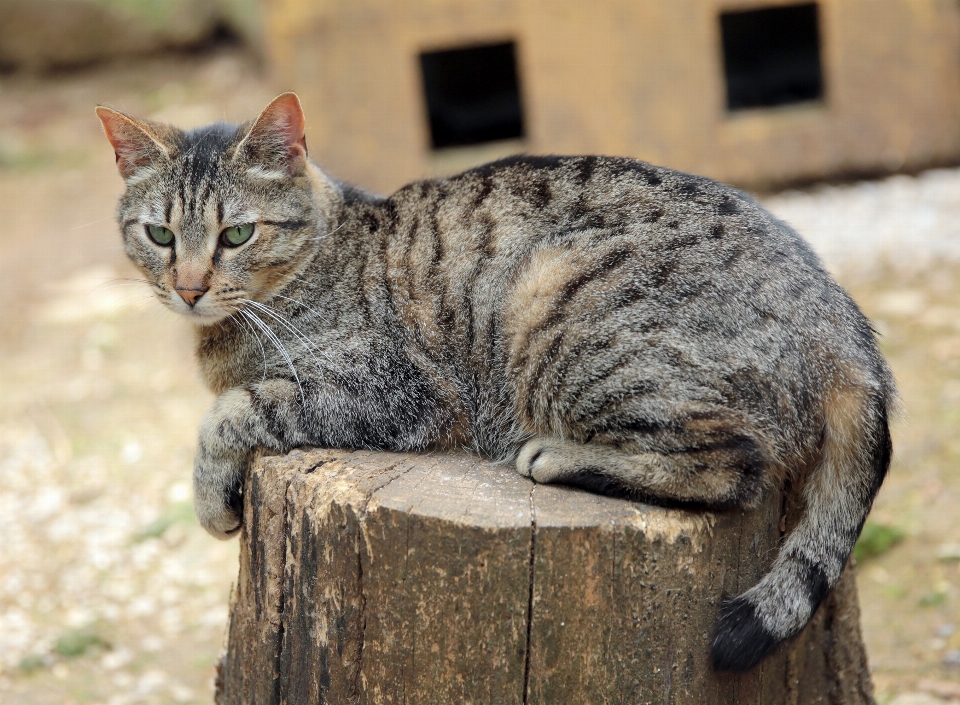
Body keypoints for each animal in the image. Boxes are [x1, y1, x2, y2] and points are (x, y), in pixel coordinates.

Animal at [95, 92, 892, 672]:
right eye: (160, 235)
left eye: (237, 234)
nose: (189, 287)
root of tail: (842, 317)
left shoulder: (392, 388)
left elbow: (232, 410)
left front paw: (210, 495)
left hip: (559, 307)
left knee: (735, 466)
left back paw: (558, 456)